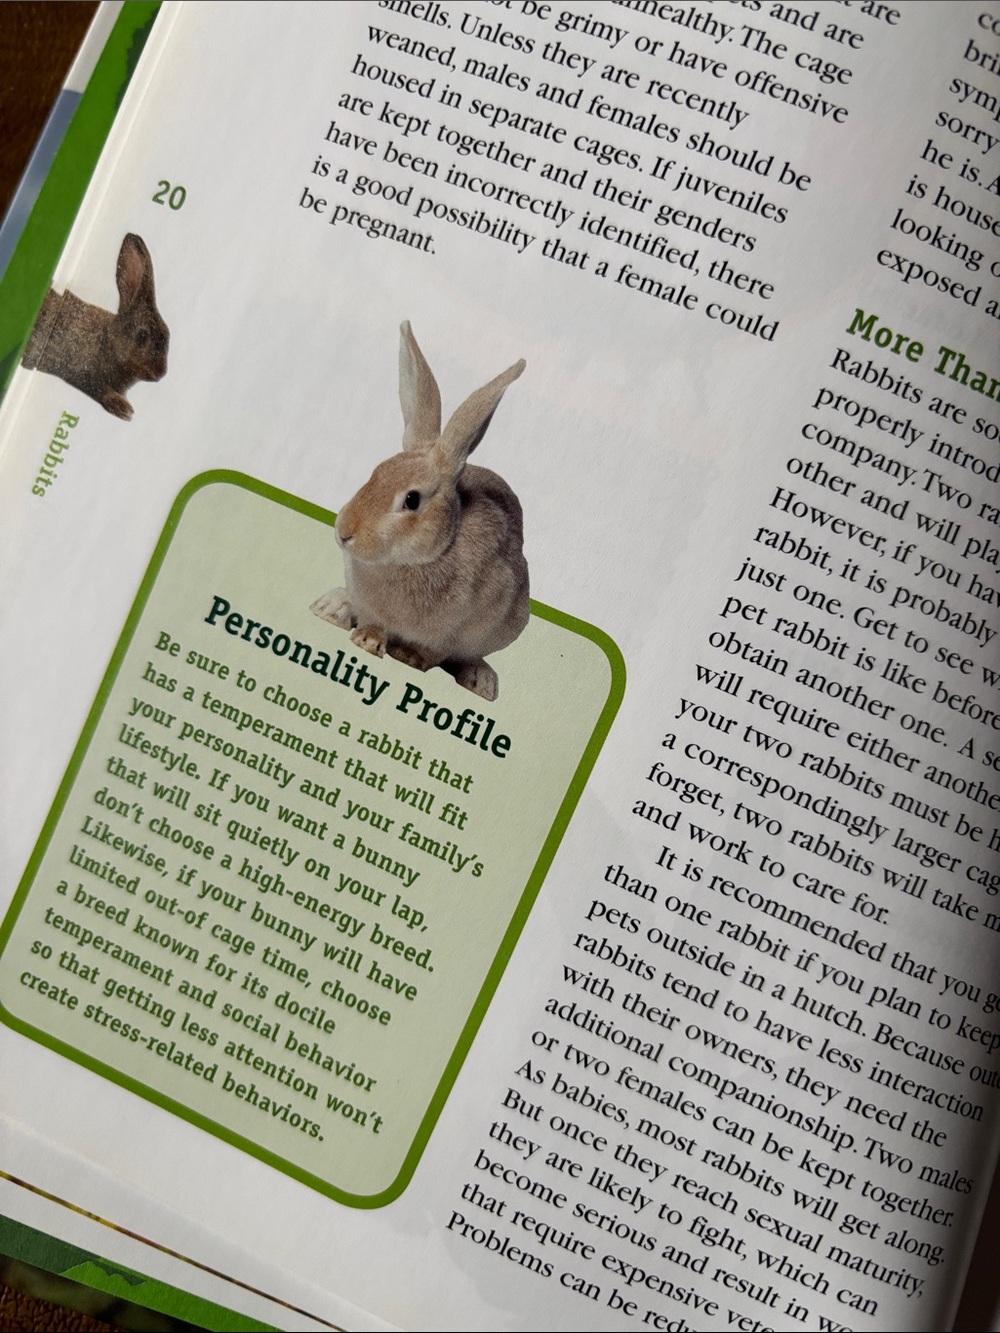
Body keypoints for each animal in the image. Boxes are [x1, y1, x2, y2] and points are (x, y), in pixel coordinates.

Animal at [21, 233, 169, 421]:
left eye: (167, 335)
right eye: (142, 336)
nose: (160, 374)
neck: (108, 341)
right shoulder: (82, 372)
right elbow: (98, 388)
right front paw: (123, 409)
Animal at [311, 322, 529, 702]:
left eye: (411, 500)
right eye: (376, 472)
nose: (345, 532)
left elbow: (437, 651)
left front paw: (410, 657)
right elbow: (372, 622)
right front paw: (367, 641)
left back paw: (481, 682)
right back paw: (331, 608)